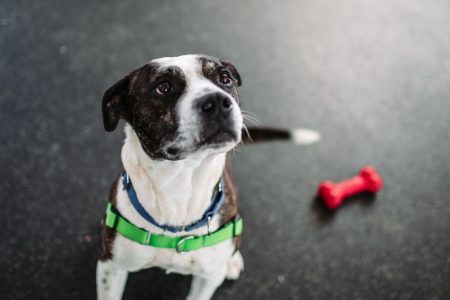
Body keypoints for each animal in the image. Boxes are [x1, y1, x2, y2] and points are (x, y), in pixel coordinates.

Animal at [97, 54, 320, 300]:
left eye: (224, 78)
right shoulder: (110, 267)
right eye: (163, 87)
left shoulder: (208, 277)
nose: (217, 101)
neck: (180, 185)